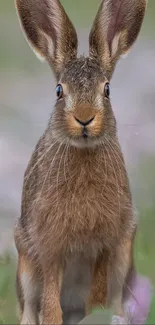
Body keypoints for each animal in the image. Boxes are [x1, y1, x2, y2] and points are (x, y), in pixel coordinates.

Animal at [14, 0, 147, 322]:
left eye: (107, 90)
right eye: (59, 91)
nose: (84, 118)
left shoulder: (105, 246)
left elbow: (97, 296)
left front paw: (95, 315)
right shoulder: (50, 247)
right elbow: (50, 299)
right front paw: (53, 319)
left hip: (124, 260)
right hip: (25, 265)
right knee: (29, 309)